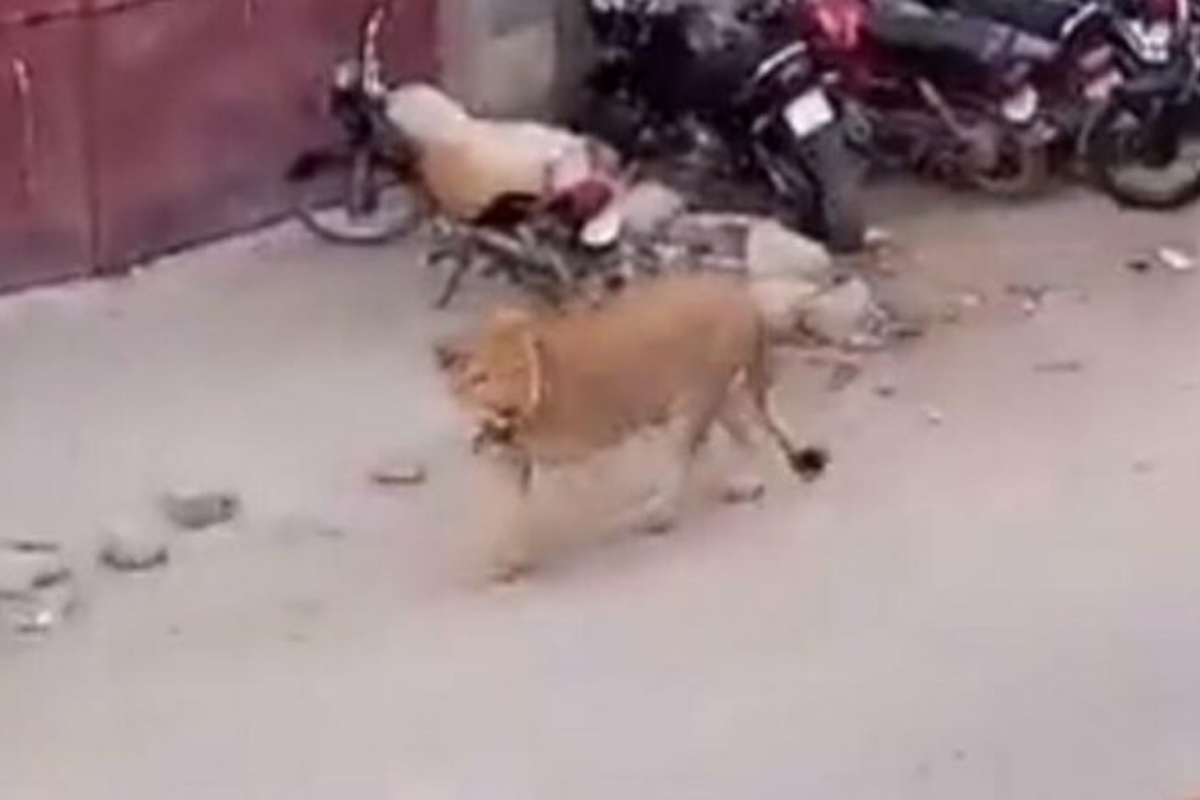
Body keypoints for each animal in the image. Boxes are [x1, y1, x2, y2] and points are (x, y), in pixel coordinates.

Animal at [435, 274, 829, 581]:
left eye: (517, 370)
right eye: (480, 378)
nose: (506, 407)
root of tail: (743, 297)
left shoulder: (593, 445)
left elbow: (585, 498)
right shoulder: (508, 459)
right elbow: (510, 509)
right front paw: (509, 561)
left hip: (692, 403)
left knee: (680, 462)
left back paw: (654, 514)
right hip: (722, 398)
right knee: (750, 438)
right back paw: (743, 485)